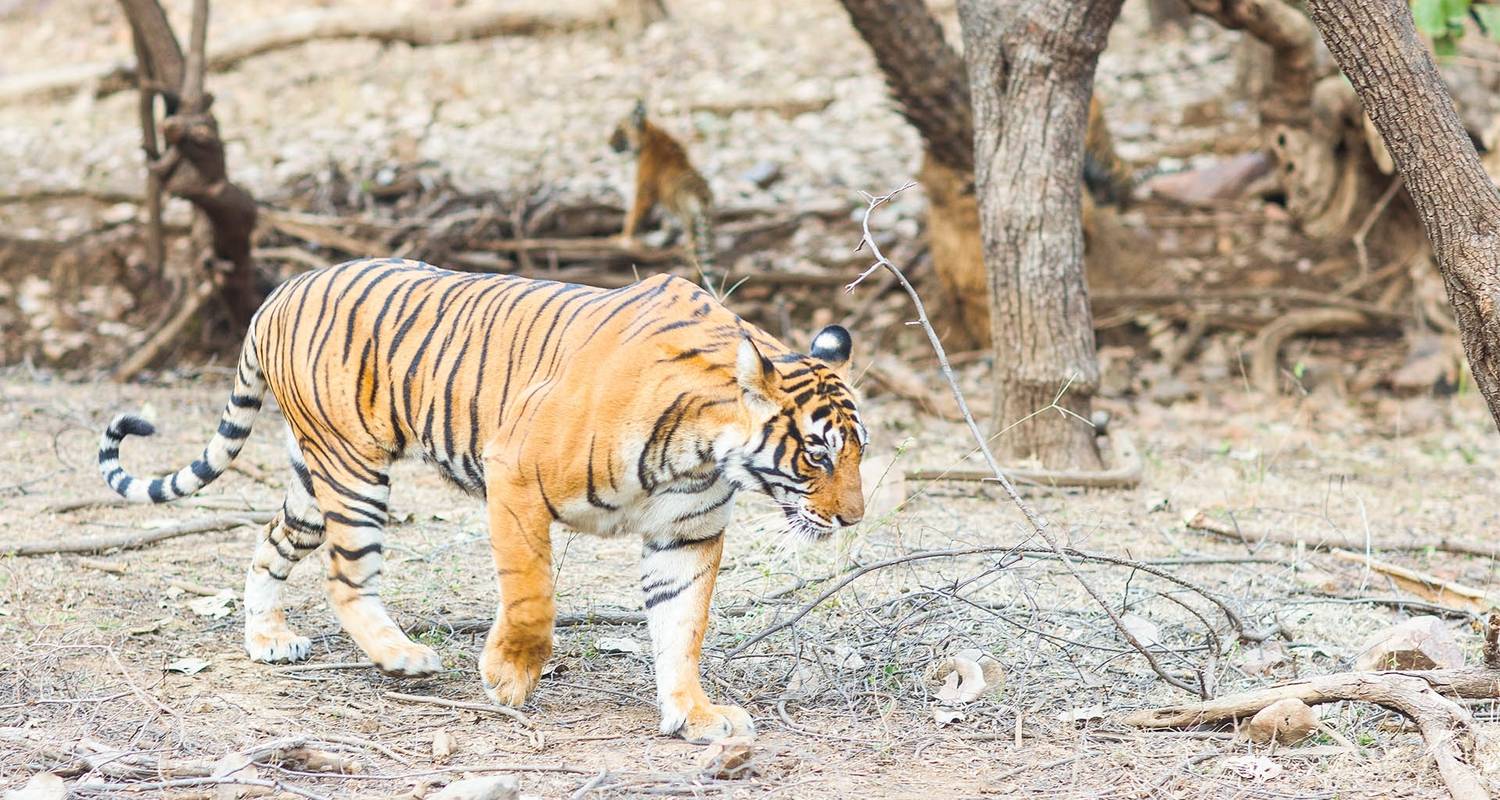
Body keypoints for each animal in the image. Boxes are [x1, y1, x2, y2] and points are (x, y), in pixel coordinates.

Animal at [96, 256, 870, 741]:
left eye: (859, 450)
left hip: (313, 479)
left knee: (270, 544)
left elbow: (682, 630)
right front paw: (508, 678)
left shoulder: (687, 534)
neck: (706, 451)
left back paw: (267, 640)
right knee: (347, 577)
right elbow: (532, 597)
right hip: (353, 470)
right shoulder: (516, 476)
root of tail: (278, 294)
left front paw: (695, 715)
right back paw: (401, 658)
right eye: (819, 452)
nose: (853, 517)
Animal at [606, 100, 717, 289]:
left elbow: (632, 216)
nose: (608, 143)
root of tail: (702, 195)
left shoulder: (644, 192)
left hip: (690, 224)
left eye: (619, 129)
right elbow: (666, 221)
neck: (650, 134)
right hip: (707, 226)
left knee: (694, 256)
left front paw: (622, 237)